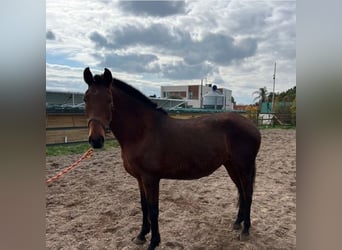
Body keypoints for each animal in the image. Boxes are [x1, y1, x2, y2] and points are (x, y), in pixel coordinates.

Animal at [83, 67, 262, 249]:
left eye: (109, 100)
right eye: (86, 99)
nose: (96, 140)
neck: (142, 133)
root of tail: (252, 126)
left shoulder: (151, 179)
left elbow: (153, 210)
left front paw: (153, 242)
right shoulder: (140, 179)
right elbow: (143, 206)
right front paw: (141, 235)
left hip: (244, 167)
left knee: (248, 193)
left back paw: (245, 230)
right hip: (231, 166)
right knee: (241, 191)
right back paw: (237, 223)